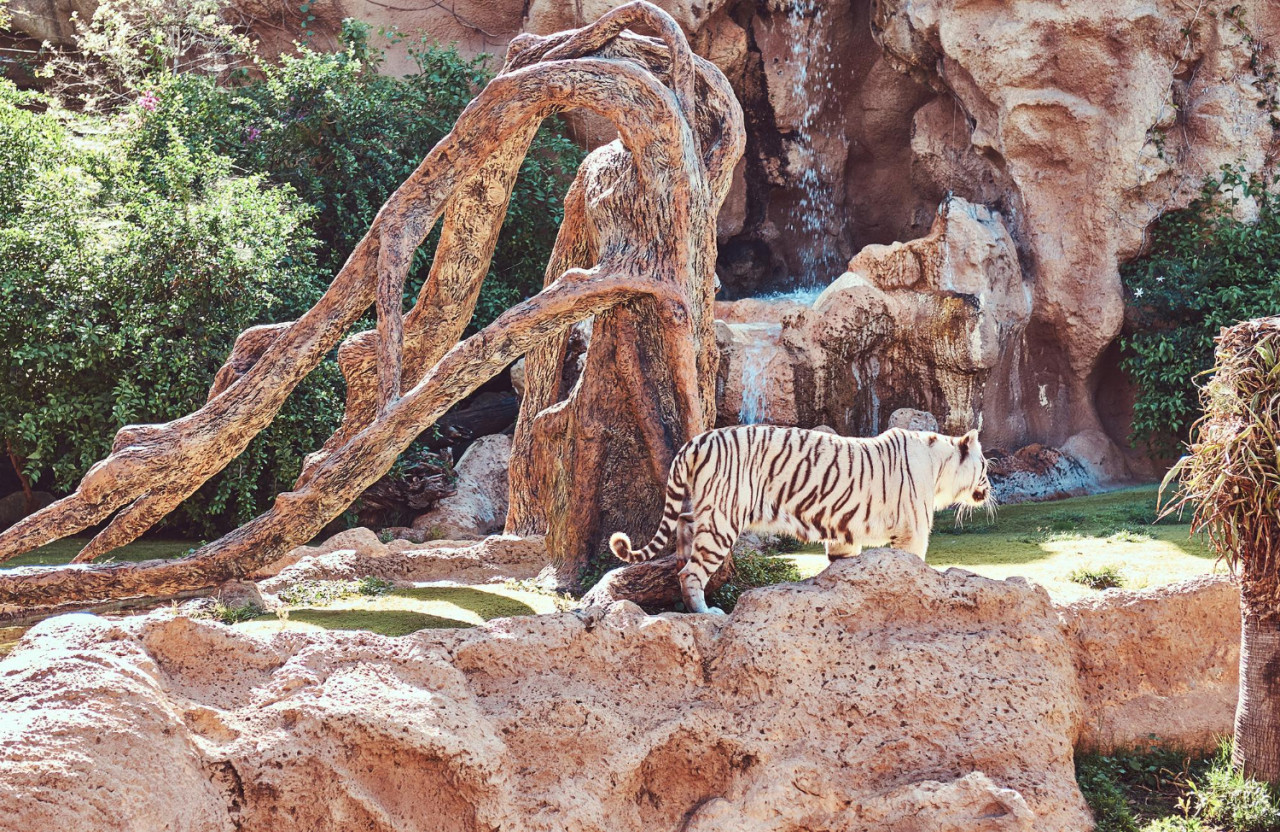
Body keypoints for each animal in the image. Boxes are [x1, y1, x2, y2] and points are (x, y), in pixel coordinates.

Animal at [609, 424, 988, 611]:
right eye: (985, 466)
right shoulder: (912, 533)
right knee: (690, 571)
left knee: (683, 536)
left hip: (704, 510)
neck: (939, 469)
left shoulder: (844, 535)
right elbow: (914, 568)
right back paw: (704, 612)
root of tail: (696, 441)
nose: (989, 489)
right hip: (723, 519)